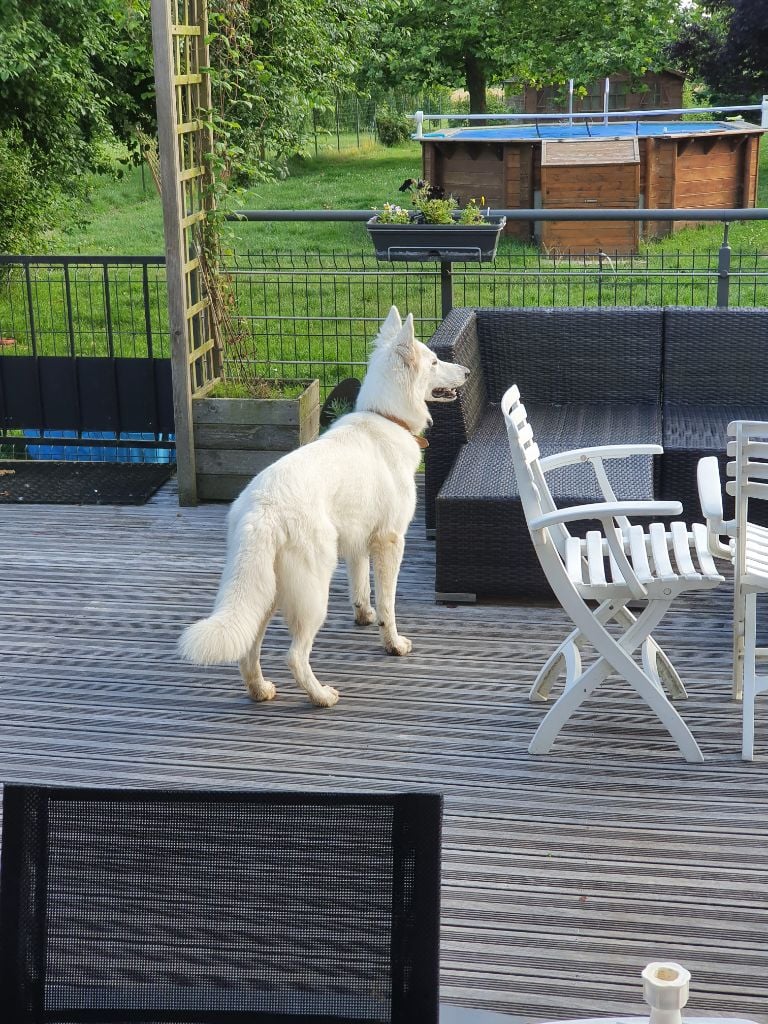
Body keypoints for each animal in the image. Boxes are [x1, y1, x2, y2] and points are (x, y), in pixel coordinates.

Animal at [179, 307, 469, 707]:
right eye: (435, 362)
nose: (467, 373)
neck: (386, 416)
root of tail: (261, 509)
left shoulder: (359, 544)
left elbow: (361, 589)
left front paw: (364, 616)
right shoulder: (390, 542)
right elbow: (390, 604)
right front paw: (393, 643)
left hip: (266, 589)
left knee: (249, 647)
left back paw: (260, 690)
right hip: (313, 591)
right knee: (294, 655)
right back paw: (320, 696)